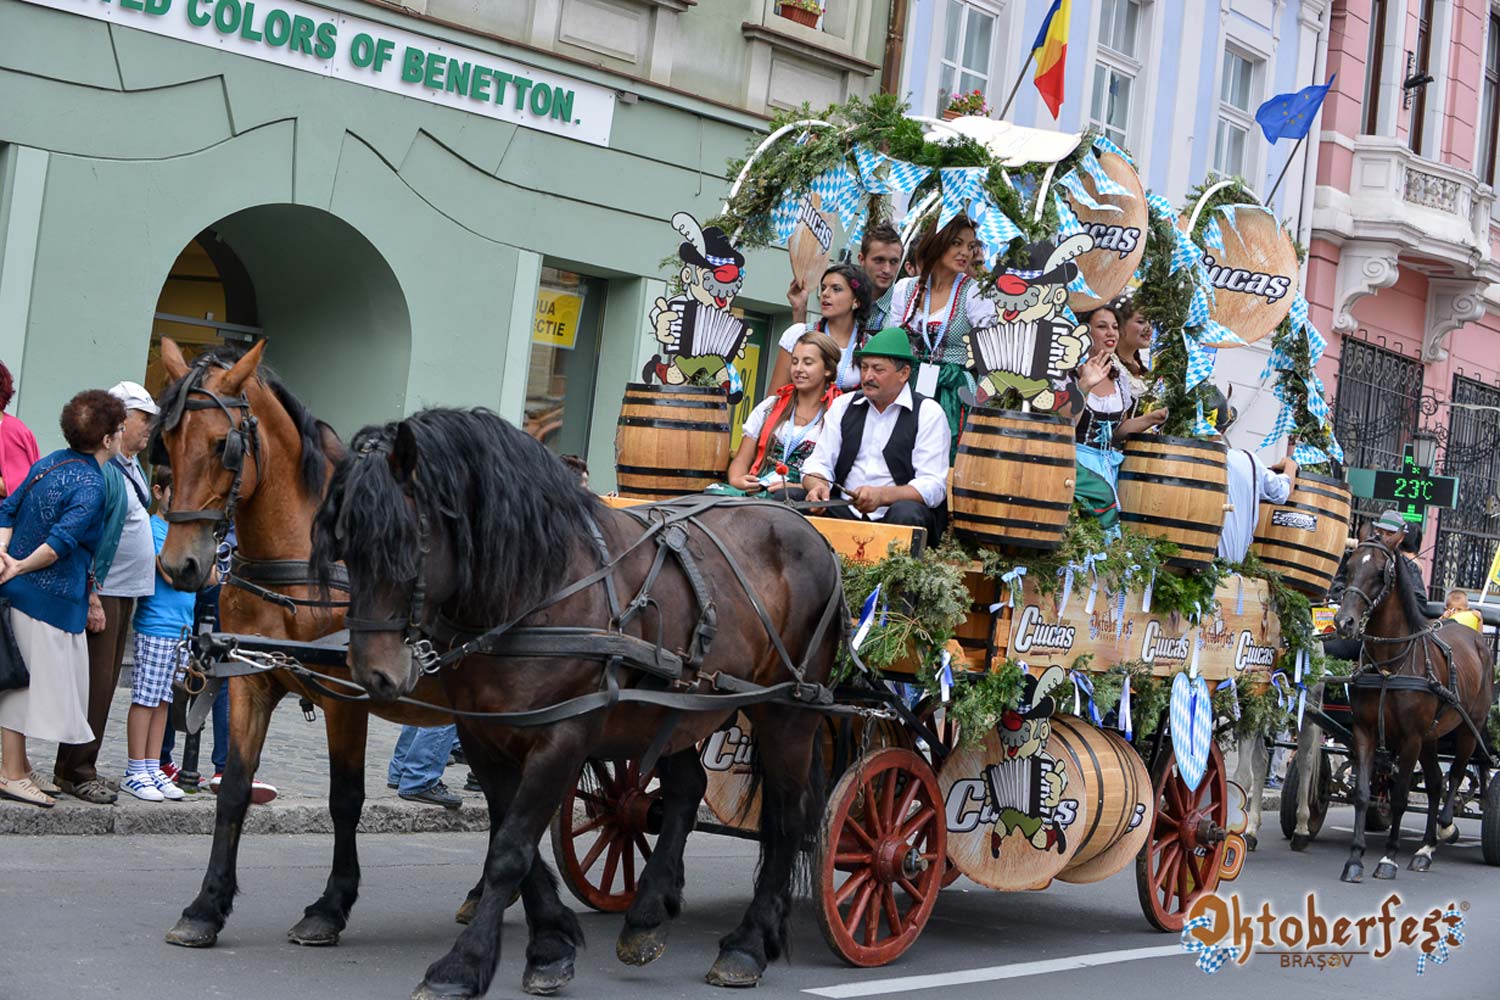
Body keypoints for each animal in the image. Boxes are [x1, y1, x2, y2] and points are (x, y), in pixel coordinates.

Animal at [152, 341, 579, 982]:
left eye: (222, 445)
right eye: (167, 439)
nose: (180, 566)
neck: (304, 569)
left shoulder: (346, 697)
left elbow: (345, 799)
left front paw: (330, 907)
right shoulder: (251, 682)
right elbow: (234, 793)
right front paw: (206, 907)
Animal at [311, 407, 844, 1000]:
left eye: (407, 543)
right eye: (343, 544)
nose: (372, 673)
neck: (540, 590)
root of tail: (808, 528)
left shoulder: (563, 736)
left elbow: (511, 850)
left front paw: (463, 965)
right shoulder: (485, 737)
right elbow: (511, 838)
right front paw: (551, 942)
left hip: (788, 712)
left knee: (786, 818)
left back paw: (747, 944)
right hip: (675, 707)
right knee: (689, 789)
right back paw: (647, 914)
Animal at [1330, 534, 1494, 881]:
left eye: (1381, 573)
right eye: (1349, 566)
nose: (1344, 622)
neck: (1389, 665)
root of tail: (1475, 637)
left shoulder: (1410, 739)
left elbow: (1401, 797)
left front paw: (1387, 859)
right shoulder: (1365, 732)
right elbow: (1362, 794)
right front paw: (1355, 858)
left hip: (1467, 731)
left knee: (1455, 776)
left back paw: (1444, 828)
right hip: (1431, 738)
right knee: (1434, 783)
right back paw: (1425, 849)